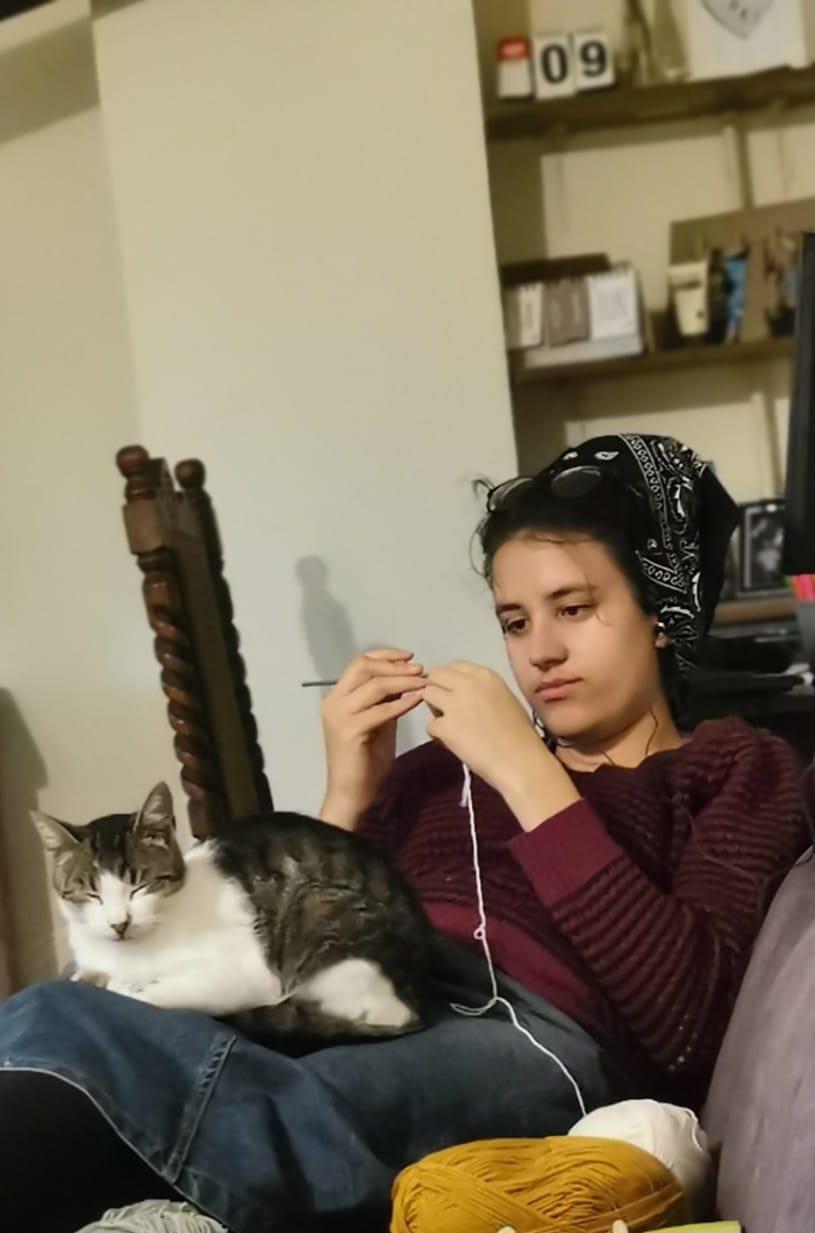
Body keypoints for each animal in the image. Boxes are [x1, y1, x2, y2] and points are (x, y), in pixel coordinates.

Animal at [32, 782, 433, 1041]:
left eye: (140, 885)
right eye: (91, 893)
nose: (119, 924)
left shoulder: (245, 974)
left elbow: (142, 996)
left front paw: (123, 986)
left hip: (316, 909)